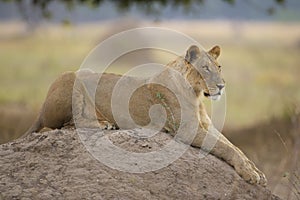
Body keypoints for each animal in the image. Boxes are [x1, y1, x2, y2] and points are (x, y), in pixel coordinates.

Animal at [24, 45, 268, 186]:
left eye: (219, 66)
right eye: (205, 68)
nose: (221, 86)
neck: (197, 94)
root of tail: (41, 108)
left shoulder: (207, 126)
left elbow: (235, 147)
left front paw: (256, 171)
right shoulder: (187, 130)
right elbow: (227, 149)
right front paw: (250, 174)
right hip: (70, 78)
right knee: (58, 125)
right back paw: (103, 125)